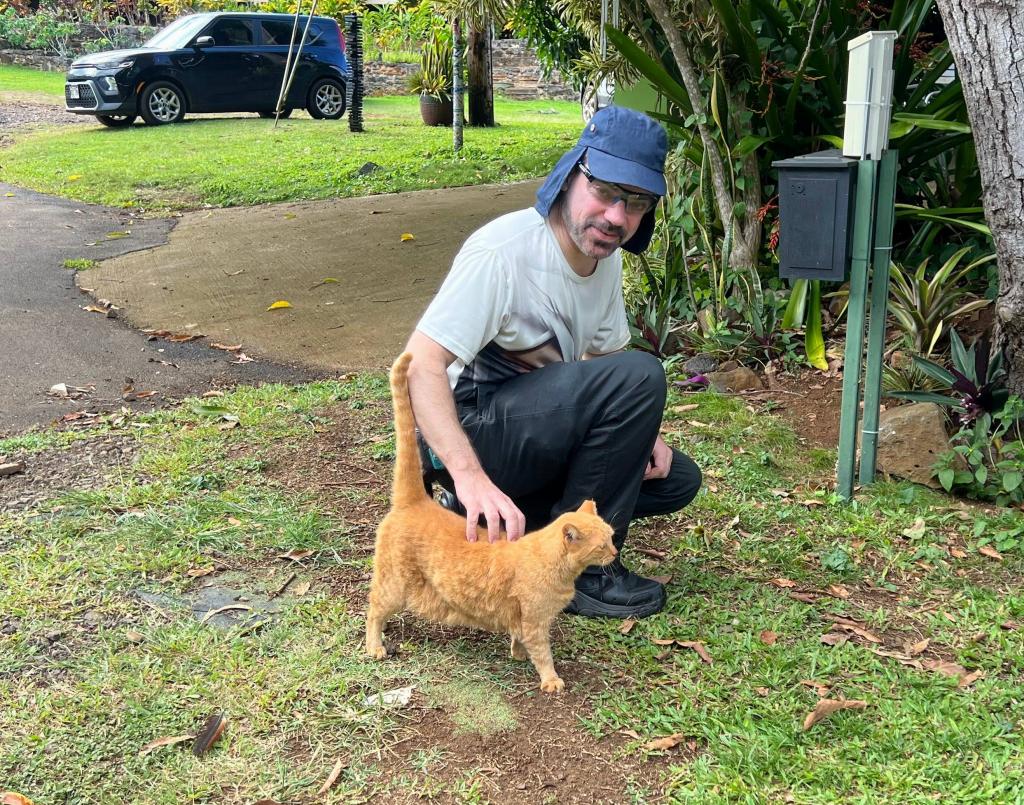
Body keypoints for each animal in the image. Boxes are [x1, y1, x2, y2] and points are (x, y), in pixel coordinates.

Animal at [364, 352, 614, 688]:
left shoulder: (523, 620)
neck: (557, 567)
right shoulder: (535, 621)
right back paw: (375, 645)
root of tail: (416, 501)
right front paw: (551, 680)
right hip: (396, 586)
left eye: (611, 537)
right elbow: (543, 654)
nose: (615, 552)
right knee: (374, 607)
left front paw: (518, 655)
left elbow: (519, 639)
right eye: (602, 546)